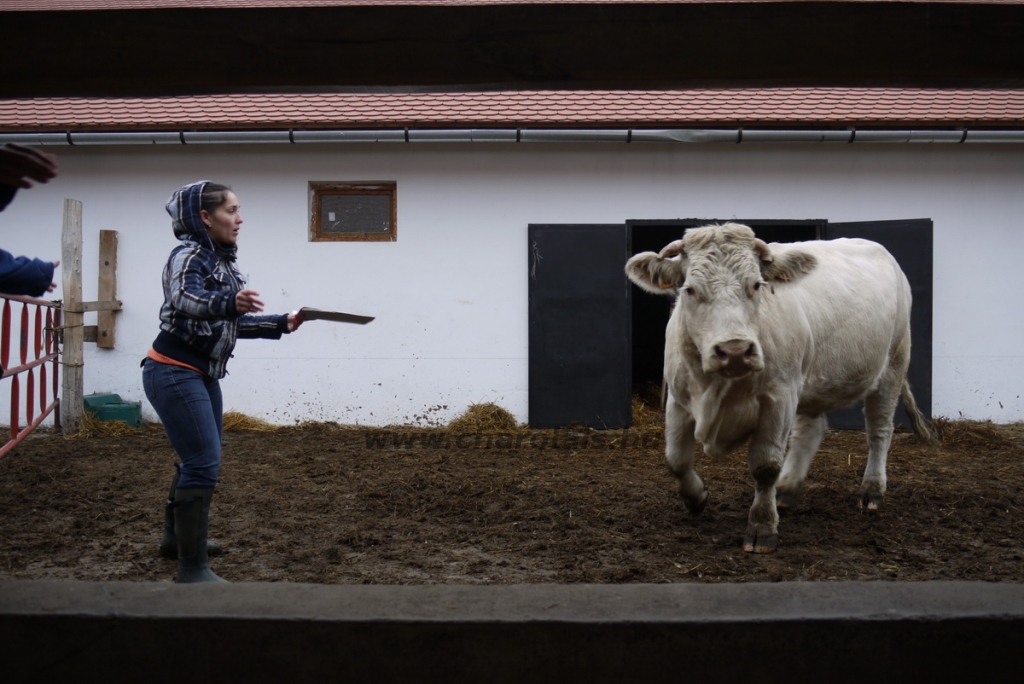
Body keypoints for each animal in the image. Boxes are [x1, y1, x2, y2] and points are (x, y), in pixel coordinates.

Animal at [622, 222, 937, 552]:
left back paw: (872, 489)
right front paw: (696, 498)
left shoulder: (779, 397)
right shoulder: (678, 399)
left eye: (756, 285)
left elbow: (765, 466)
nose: (735, 351)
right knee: (810, 430)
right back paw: (786, 489)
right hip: (812, 379)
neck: (719, 390)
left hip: (893, 363)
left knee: (879, 430)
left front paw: (762, 526)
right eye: (690, 289)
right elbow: (676, 459)